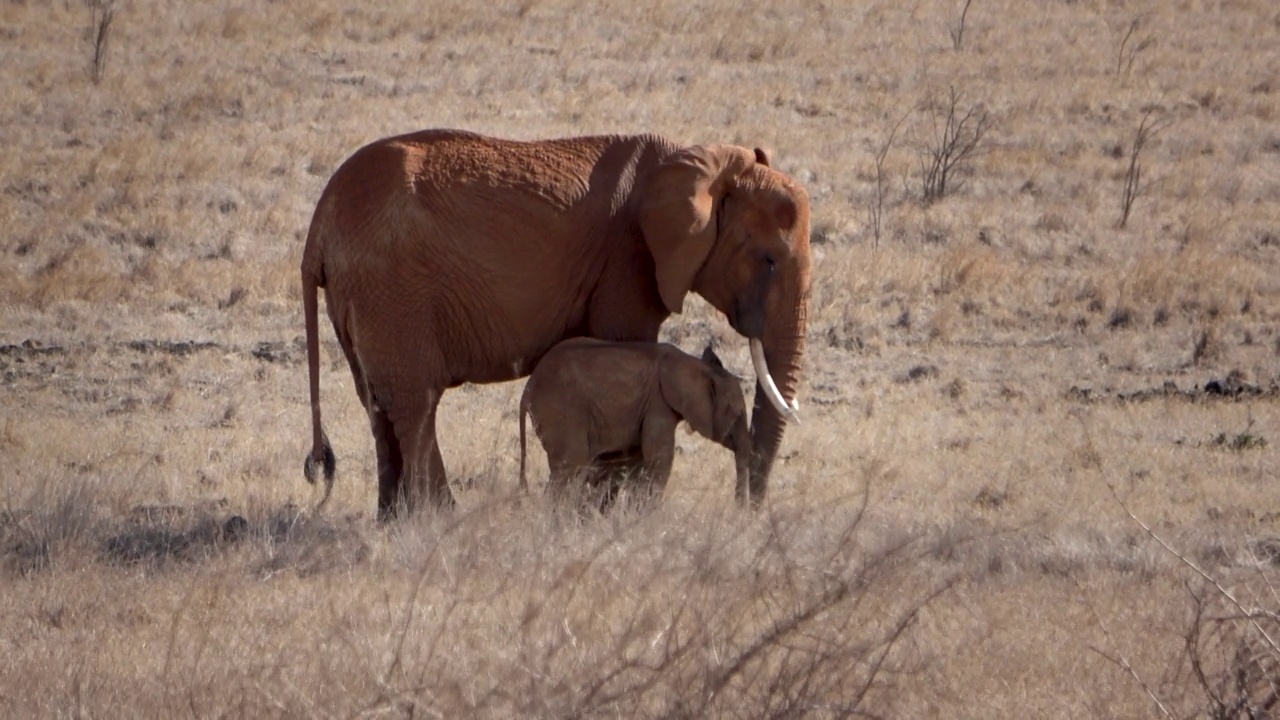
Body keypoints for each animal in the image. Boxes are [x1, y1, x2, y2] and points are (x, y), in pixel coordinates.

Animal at [517, 338, 747, 502]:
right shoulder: (658, 402)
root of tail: (527, 389)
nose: (738, 503)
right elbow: (659, 458)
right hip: (561, 411)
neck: (696, 365)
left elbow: (639, 459)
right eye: (735, 414)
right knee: (572, 466)